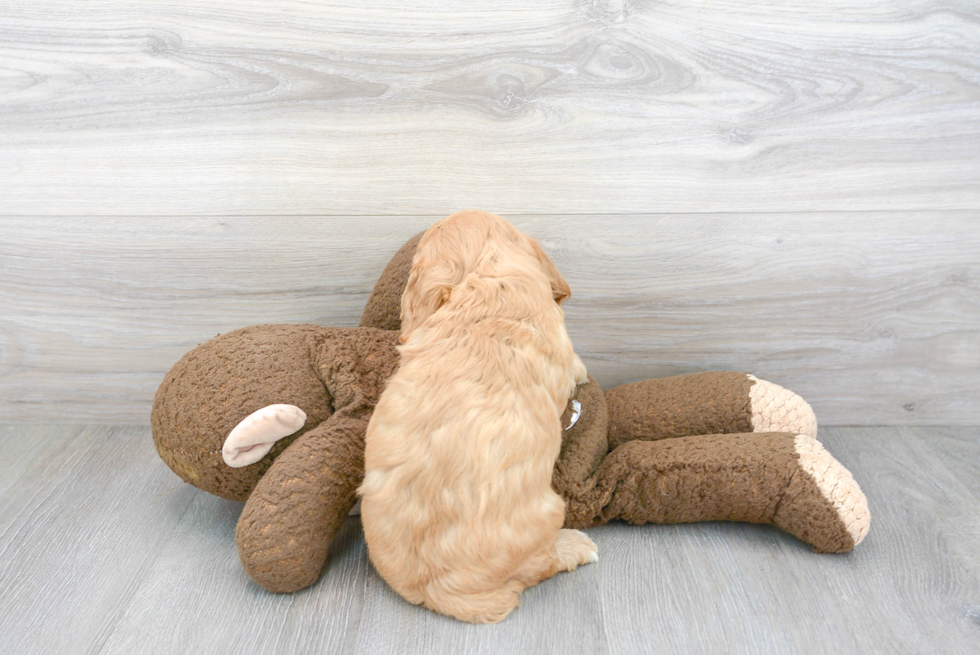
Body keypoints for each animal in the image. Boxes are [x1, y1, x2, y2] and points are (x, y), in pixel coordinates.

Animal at [356, 210, 592, 624]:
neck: (487, 279)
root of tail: (440, 590)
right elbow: (572, 367)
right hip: (551, 513)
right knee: (542, 564)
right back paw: (575, 546)